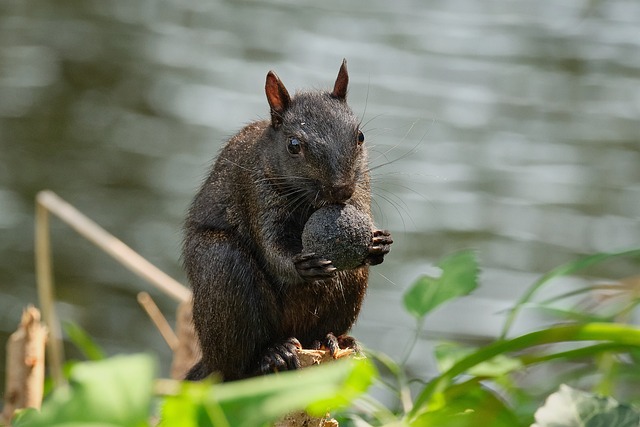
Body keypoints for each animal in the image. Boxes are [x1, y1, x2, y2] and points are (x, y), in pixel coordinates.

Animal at [180, 59, 390, 382]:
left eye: (360, 136)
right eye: (293, 145)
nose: (341, 188)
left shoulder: (361, 190)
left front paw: (379, 243)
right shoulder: (256, 192)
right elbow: (272, 248)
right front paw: (302, 265)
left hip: (349, 284)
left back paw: (329, 339)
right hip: (221, 268)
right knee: (238, 362)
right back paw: (272, 353)